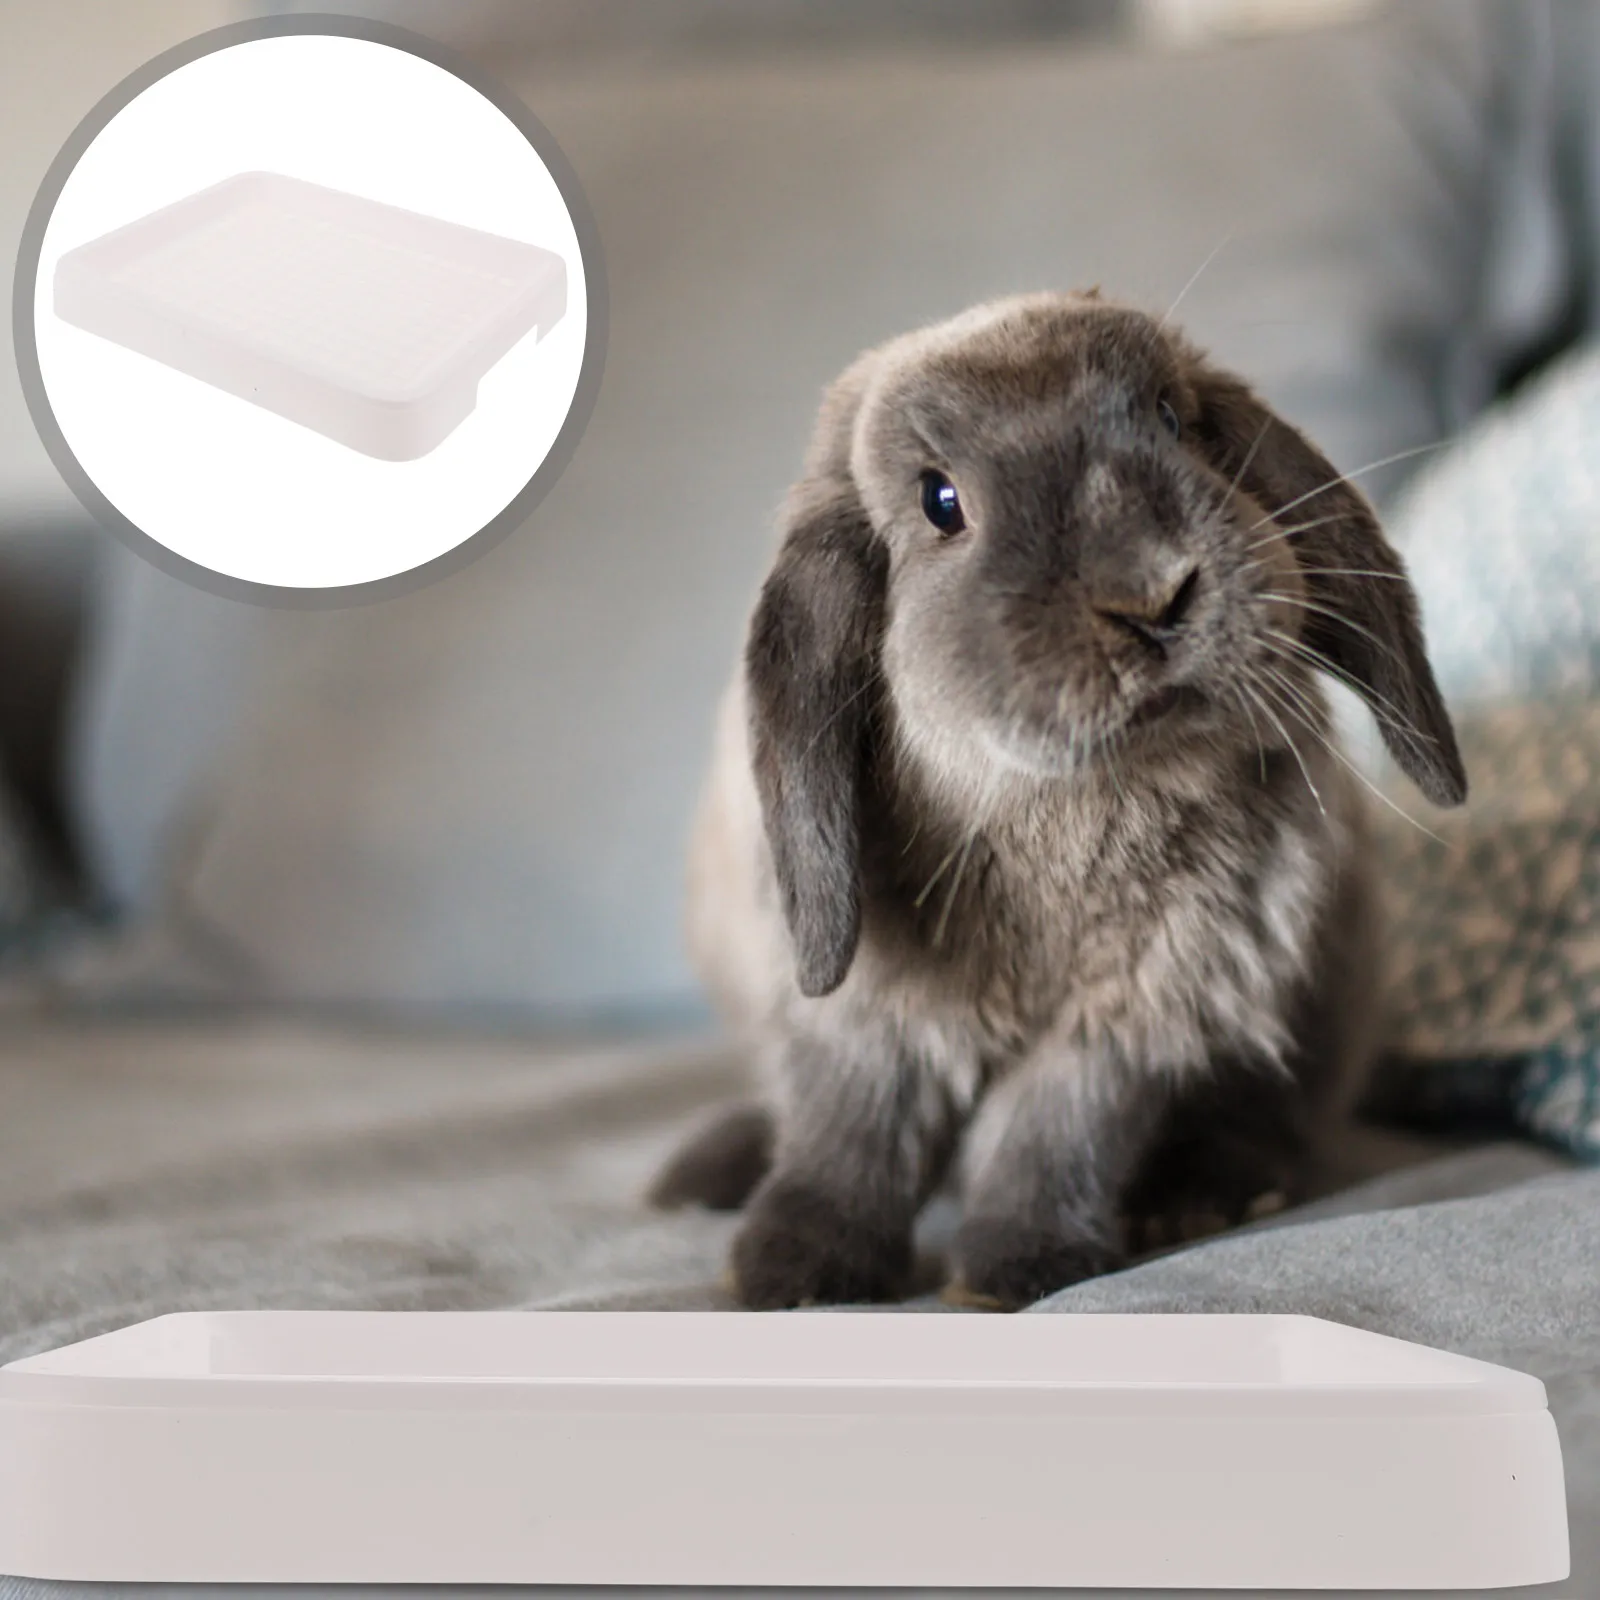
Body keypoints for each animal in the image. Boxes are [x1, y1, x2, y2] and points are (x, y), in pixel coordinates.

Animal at [650, 290, 1466, 1311]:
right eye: (940, 501)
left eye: (1171, 418)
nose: (1153, 594)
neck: (1066, 809)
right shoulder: (864, 1016)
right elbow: (852, 1130)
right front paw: (791, 1271)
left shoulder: (1132, 1015)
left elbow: (1052, 1134)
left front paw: (1019, 1269)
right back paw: (705, 1173)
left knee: (1274, 1120)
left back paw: (1204, 1197)